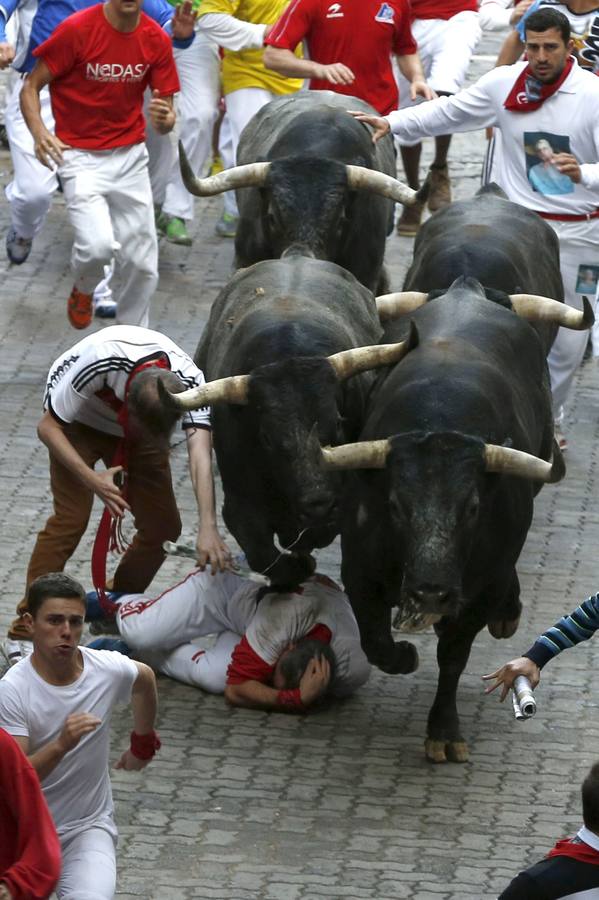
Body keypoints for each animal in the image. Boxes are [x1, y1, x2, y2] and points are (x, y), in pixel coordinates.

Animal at [338, 280, 568, 760]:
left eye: (474, 507)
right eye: (394, 505)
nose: (430, 593)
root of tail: (468, 288)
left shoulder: (481, 589)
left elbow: (454, 655)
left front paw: (444, 730)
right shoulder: (359, 571)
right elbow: (376, 643)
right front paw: (406, 655)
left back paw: (507, 613)